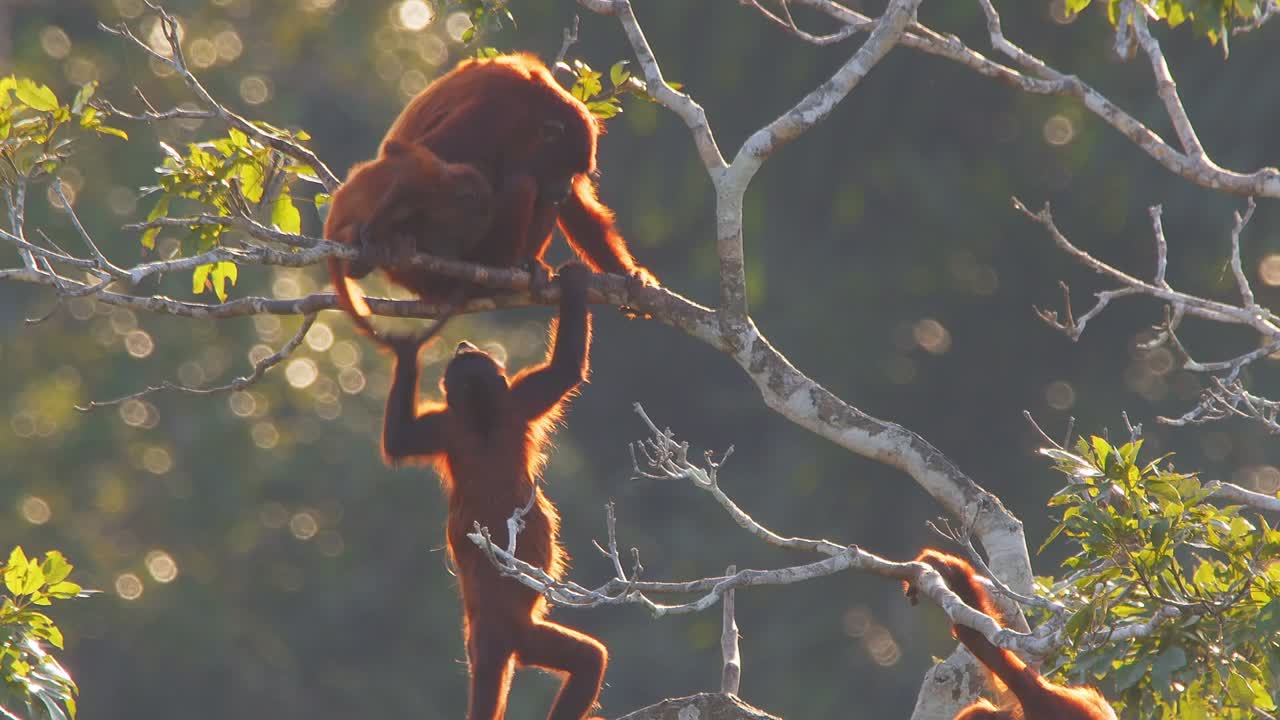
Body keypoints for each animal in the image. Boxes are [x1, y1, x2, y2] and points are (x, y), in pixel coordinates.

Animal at [381, 261, 607, 720]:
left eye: (471, 356)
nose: (463, 341)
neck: (481, 412)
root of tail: (494, 637)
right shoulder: (506, 407)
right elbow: (567, 369)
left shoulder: (459, 421)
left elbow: (397, 441)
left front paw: (407, 350)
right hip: (525, 638)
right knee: (589, 661)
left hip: (502, 641)